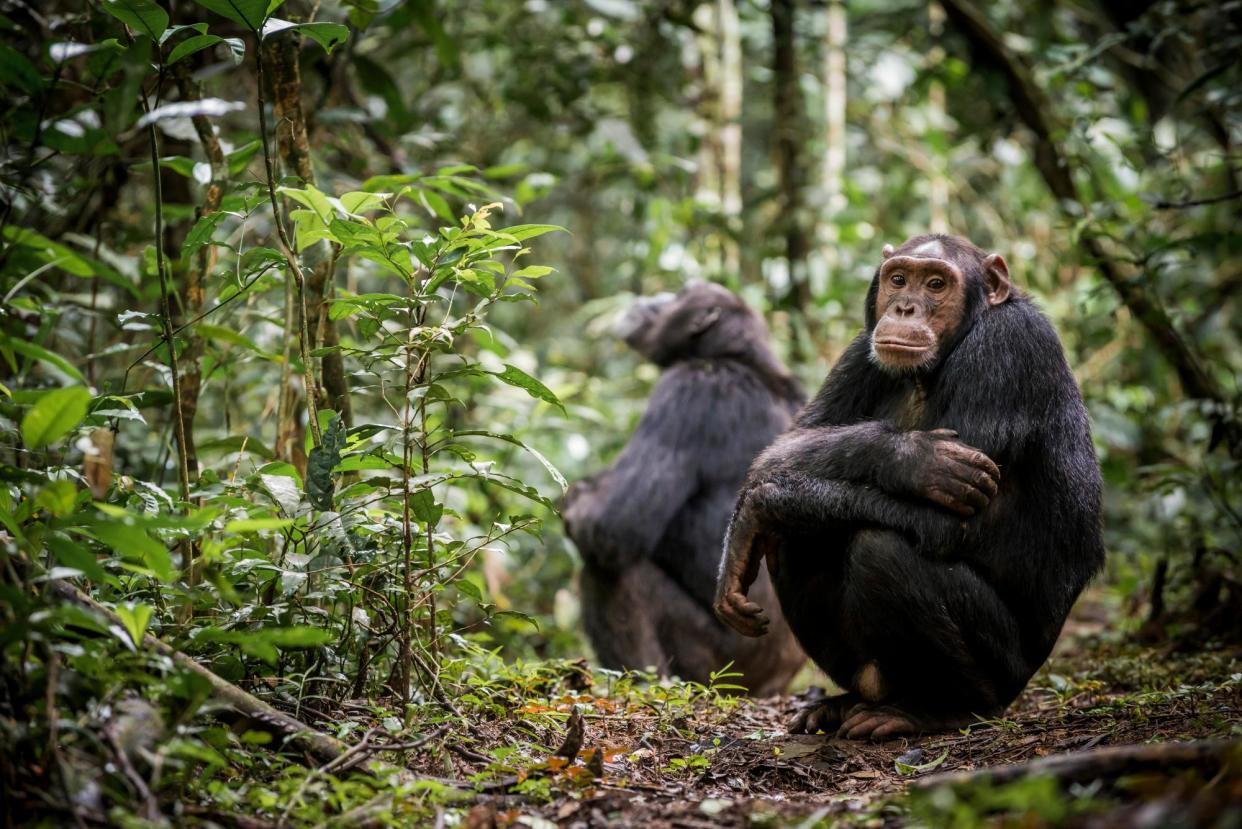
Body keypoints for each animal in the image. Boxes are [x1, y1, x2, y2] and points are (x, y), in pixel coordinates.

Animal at [563, 282, 804, 696]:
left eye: (682, 293)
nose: (655, 297)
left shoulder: (688, 390)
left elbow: (610, 525)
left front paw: (576, 499)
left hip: (721, 668)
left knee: (615, 573)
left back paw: (647, 683)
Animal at [720, 233, 1107, 740]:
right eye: (899, 279)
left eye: (937, 284)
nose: (904, 307)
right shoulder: (859, 351)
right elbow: (791, 441)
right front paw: (913, 459)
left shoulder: (1008, 348)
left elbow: (949, 523)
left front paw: (761, 505)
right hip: (869, 672)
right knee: (796, 539)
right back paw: (842, 704)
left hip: (1005, 673)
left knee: (880, 550)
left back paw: (939, 709)